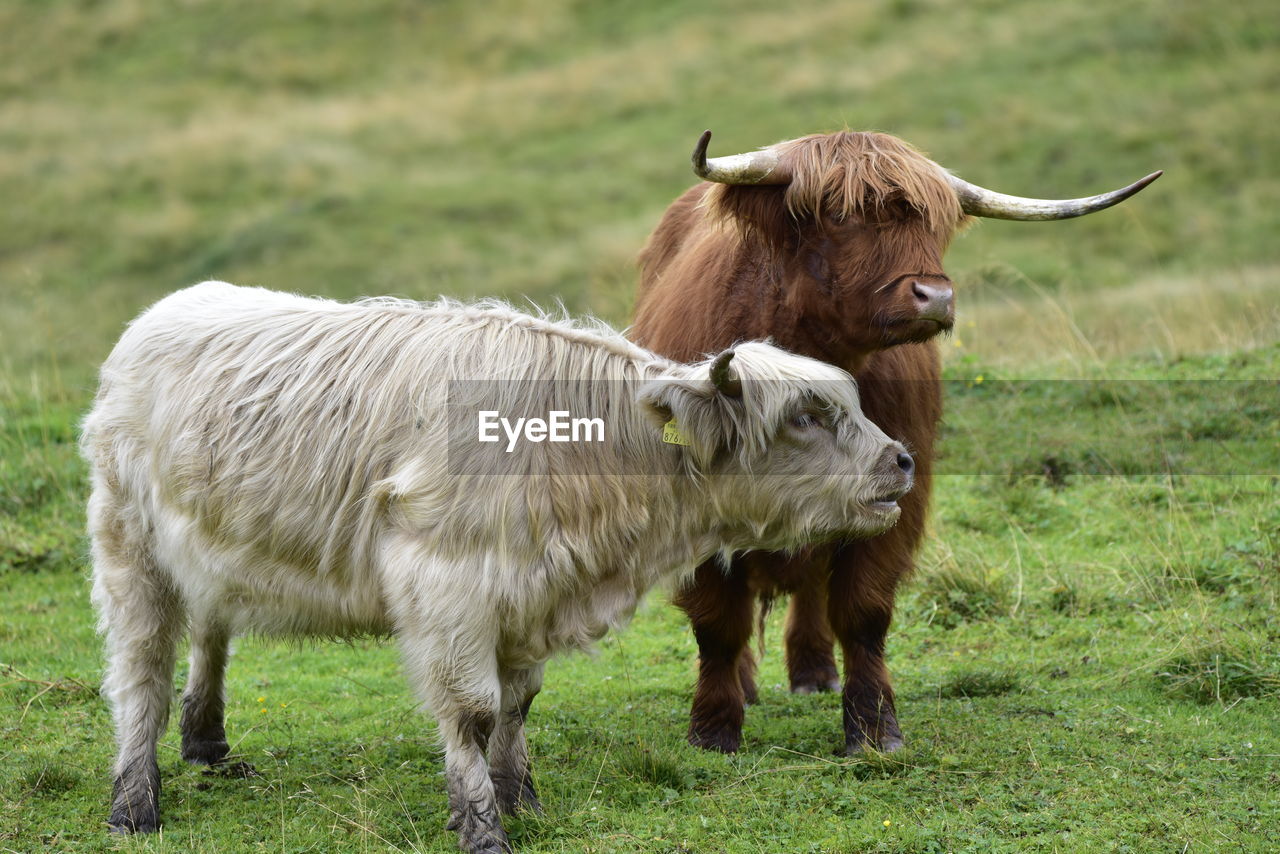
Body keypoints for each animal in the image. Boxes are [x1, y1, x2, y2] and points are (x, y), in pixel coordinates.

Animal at [82, 284, 911, 850]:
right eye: (804, 416)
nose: (901, 460)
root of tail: (165, 311)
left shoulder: (528, 595)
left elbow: (518, 706)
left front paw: (522, 800)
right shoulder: (448, 590)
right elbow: (474, 714)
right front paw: (481, 825)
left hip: (207, 550)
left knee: (210, 634)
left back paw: (207, 743)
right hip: (130, 548)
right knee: (141, 674)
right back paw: (134, 802)